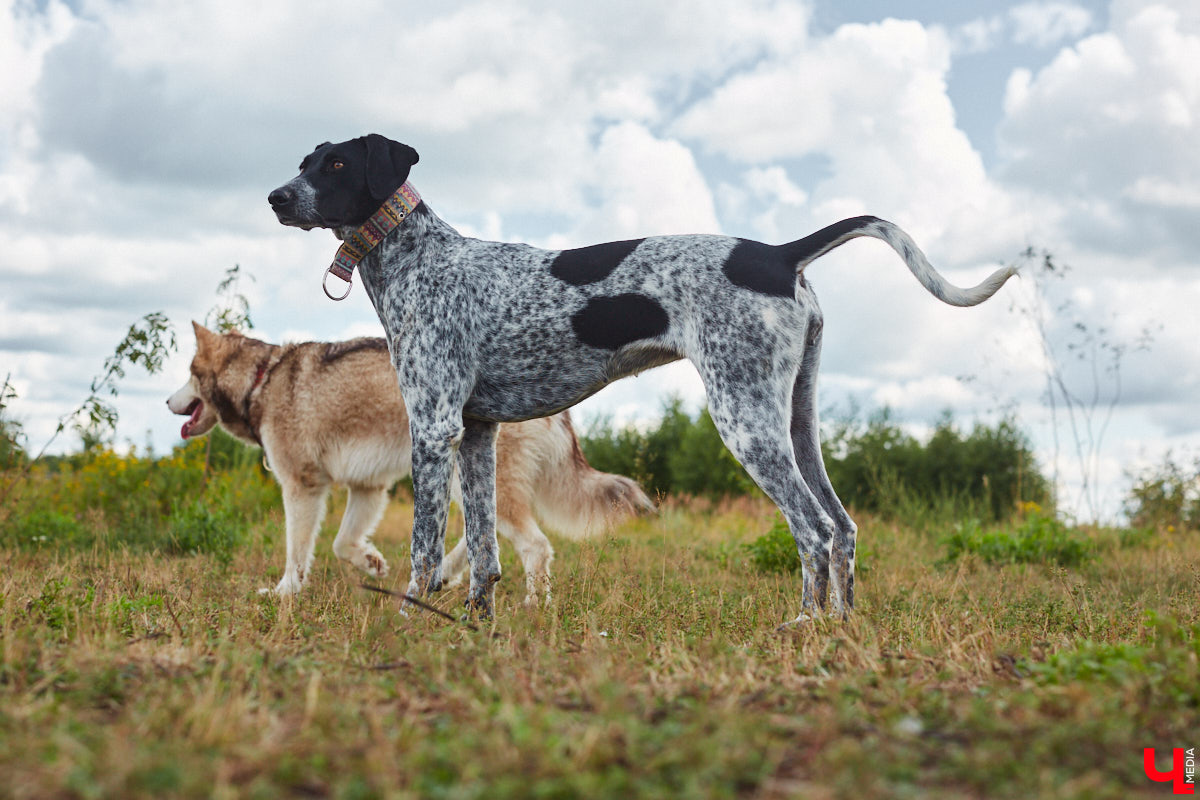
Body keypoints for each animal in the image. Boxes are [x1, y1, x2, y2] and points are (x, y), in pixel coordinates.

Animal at [267, 133, 1017, 623]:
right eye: (304, 162)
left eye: (336, 163)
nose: (275, 196)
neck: (420, 258)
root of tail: (780, 254)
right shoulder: (476, 434)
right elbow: (482, 552)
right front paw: (476, 626)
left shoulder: (433, 429)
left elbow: (424, 550)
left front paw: (410, 624)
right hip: (796, 422)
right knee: (845, 526)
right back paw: (842, 628)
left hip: (746, 420)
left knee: (812, 531)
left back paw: (804, 625)